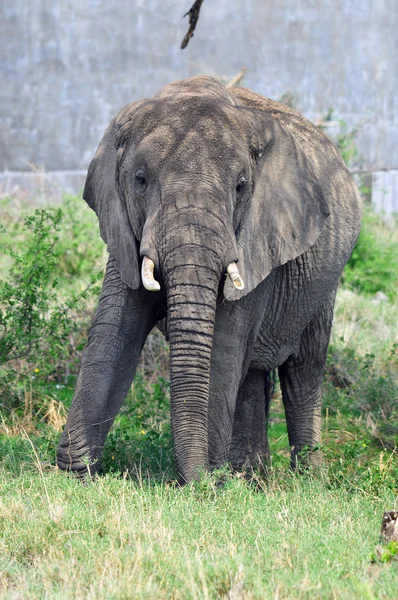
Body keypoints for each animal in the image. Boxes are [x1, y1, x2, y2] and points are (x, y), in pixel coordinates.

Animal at [56, 77, 364, 486]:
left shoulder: (257, 236)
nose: (196, 478)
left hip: (325, 281)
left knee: (304, 369)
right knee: (253, 374)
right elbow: (114, 334)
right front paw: (76, 473)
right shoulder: (123, 228)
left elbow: (224, 343)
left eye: (241, 186)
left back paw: (305, 478)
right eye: (140, 181)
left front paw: (210, 481)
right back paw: (251, 477)